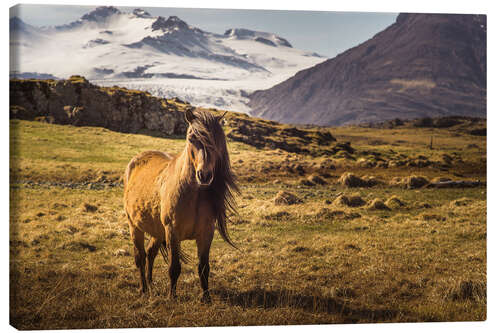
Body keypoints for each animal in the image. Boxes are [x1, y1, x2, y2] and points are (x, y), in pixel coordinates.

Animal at [122, 107, 237, 302]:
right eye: (191, 138)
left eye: (216, 140)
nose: (204, 175)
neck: (193, 194)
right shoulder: (172, 232)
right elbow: (174, 268)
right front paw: (172, 297)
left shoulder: (206, 233)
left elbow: (204, 267)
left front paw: (206, 298)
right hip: (135, 227)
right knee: (140, 257)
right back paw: (143, 289)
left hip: (157, 231)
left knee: (150, 253)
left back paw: (151, 285)